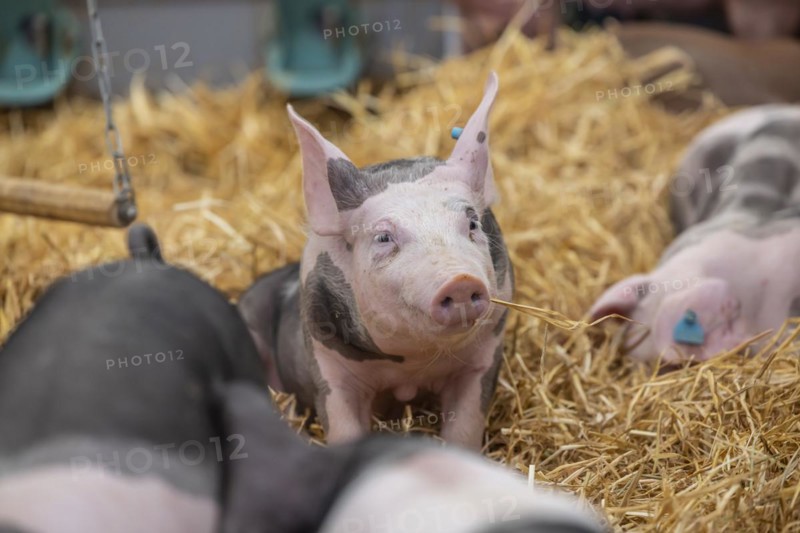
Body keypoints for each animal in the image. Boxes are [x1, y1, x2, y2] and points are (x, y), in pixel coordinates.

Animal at [238, 72, 514, 450]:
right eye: (384, 238)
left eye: (472, 223)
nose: (459, 281)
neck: (411, 367)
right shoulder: (328, 365)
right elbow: (343, 426)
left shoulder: (483, 358)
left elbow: (464, 429)